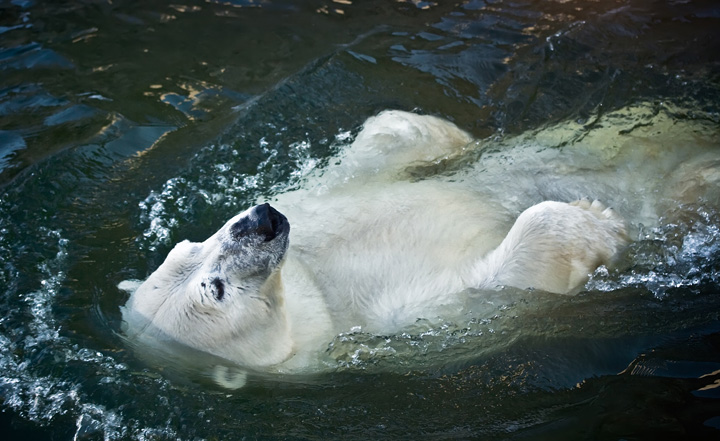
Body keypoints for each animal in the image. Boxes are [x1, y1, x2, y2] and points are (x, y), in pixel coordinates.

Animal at [120, 109, 638, 378]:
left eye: (190, 247)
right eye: (216, 289)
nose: (263, 220)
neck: (313, 287)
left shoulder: (314, 204)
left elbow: (387, 132)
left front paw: (454, 141)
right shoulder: (403, 321)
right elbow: (501, 279)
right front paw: (598, 219)